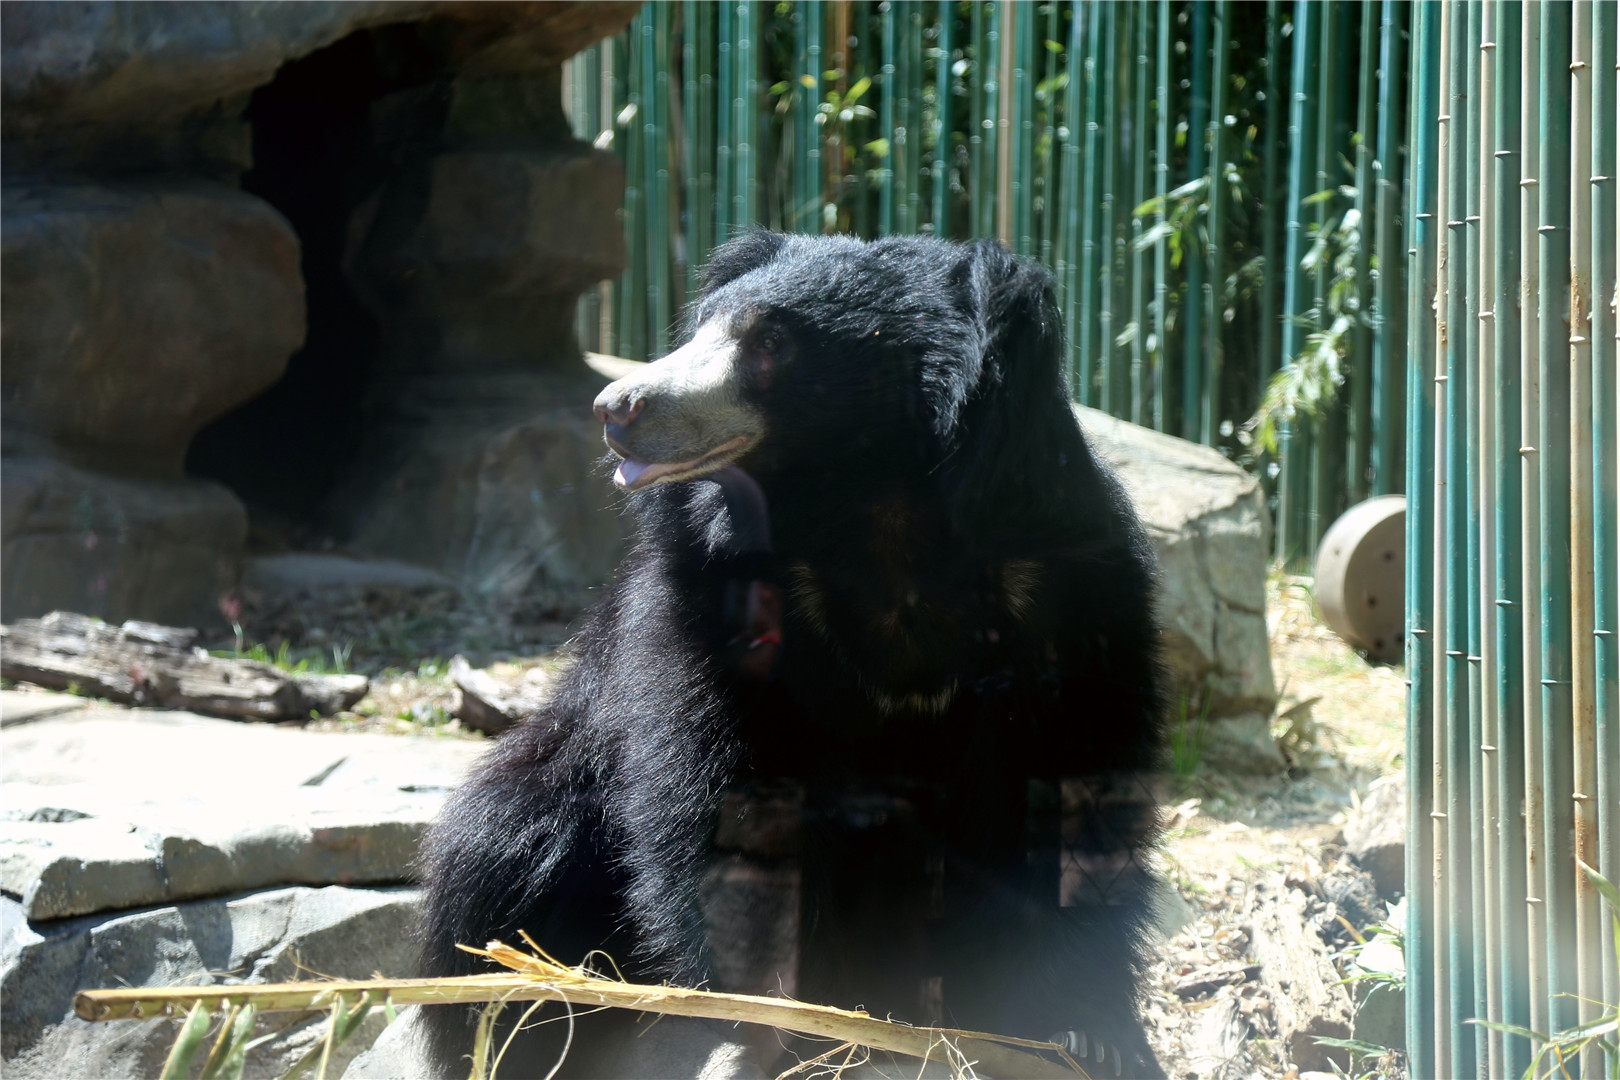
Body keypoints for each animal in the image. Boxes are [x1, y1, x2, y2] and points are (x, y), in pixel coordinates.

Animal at [417, 232, 1167, 1078]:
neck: (872, 510)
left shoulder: (1068, 587)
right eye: (701, 326)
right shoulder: (713, 595)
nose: (617, 408)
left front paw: (1085, 1026)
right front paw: (777, 1017)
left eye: (770, 343)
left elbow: (1081, 777)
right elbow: (717, 793)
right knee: (506, 849)